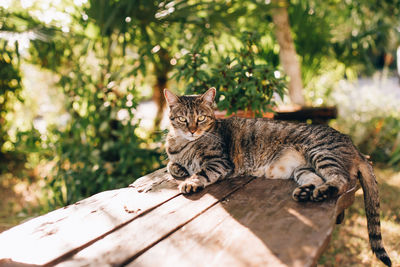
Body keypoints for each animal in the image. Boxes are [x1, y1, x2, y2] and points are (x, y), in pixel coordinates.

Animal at [164, 88, 392, 267]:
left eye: (201, 118)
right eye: (183, 119)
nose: (192, 130)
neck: (183, 144)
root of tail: (354, 146)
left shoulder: (220, 162)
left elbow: (201, 172)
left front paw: (190, 182)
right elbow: (171, 165)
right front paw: (179, 169)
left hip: (321, 153)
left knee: (340, 180)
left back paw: (320, 193)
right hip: (303, 169)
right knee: (317, 179)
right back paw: (306, 192)